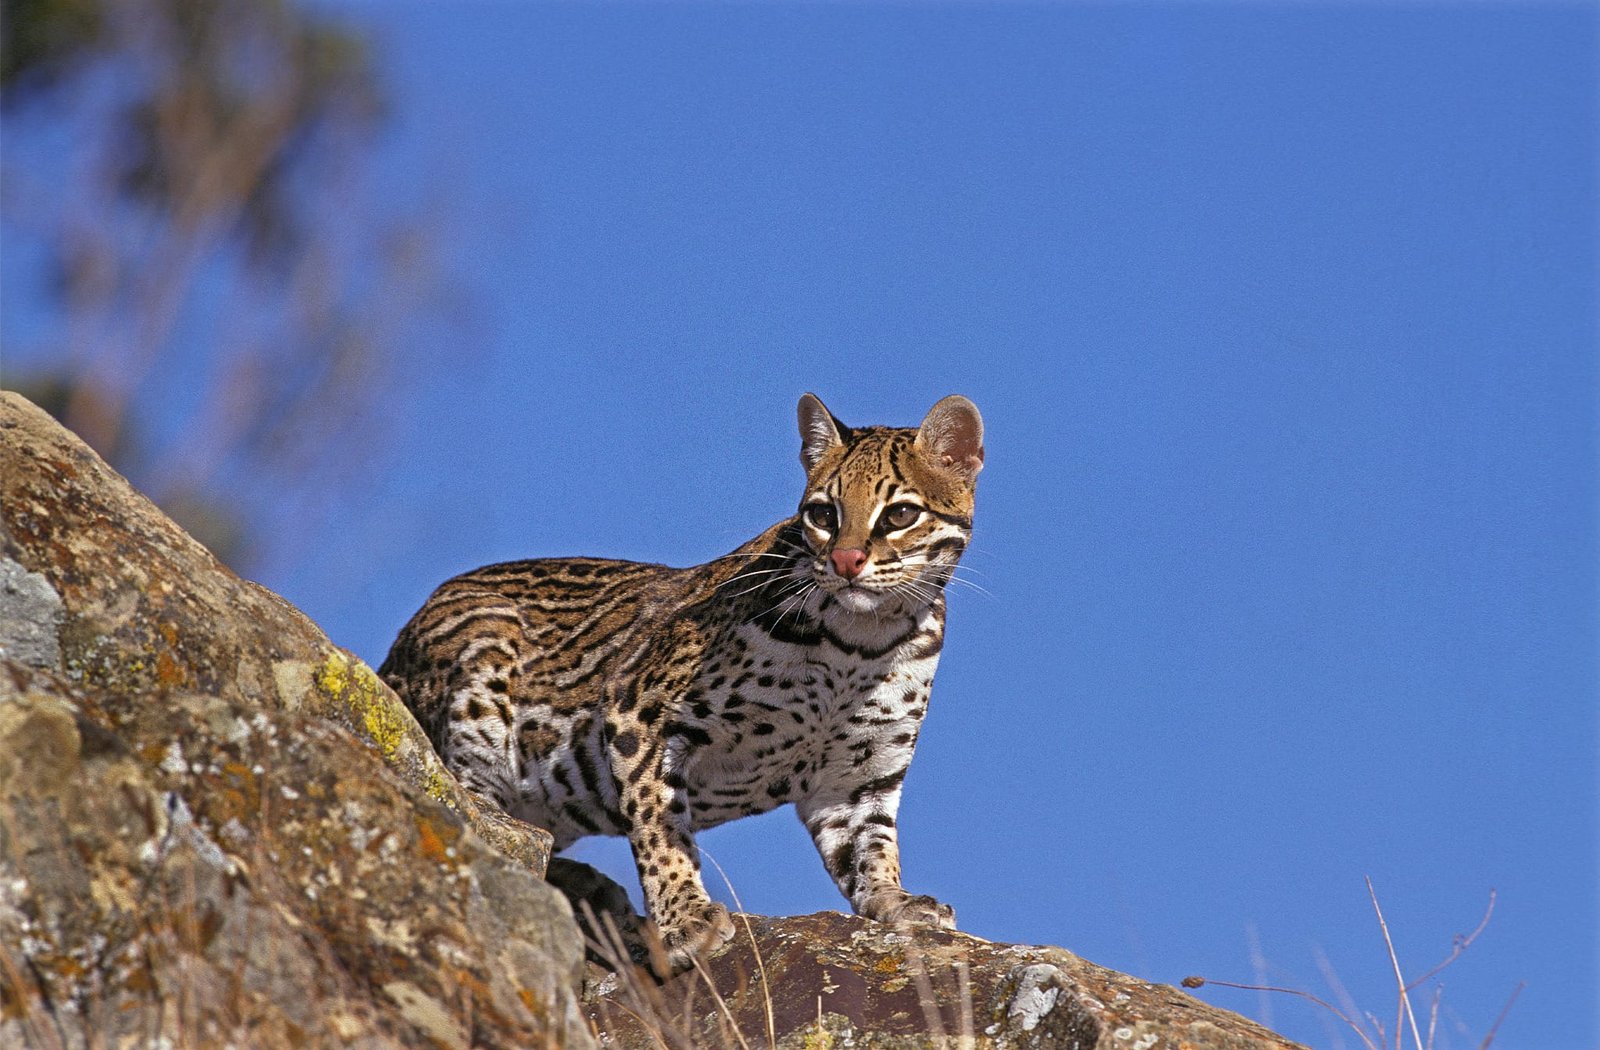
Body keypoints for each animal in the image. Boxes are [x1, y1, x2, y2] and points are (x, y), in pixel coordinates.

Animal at [380, 395, 979, 973]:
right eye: (822, 513)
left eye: (900, 514)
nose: (846, 560)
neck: (861, 641)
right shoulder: (636, 706)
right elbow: (658, 820)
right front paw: (683, 918)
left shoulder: (861, 772)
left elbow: (869, 845)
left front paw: (893, 898)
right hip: (481, 671)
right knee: (478, 823)